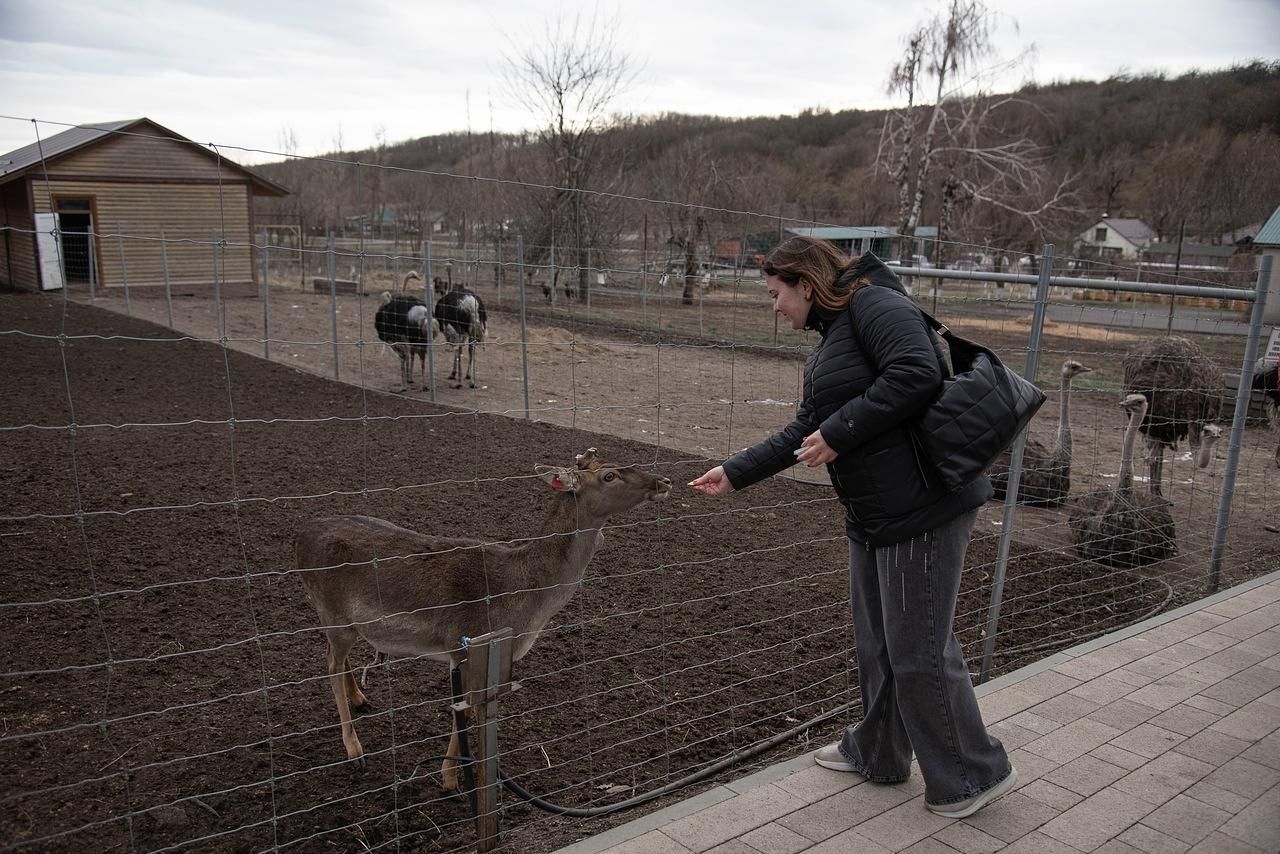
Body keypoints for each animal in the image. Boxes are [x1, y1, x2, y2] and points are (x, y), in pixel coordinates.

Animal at [291, 450, 670, 793]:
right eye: (609, 475)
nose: (663, 481)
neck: (525, 604)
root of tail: (299, 535)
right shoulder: (467, 645)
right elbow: (466, 711)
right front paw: (450, 779)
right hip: (331, 612)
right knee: (330, 662)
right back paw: (355, 750)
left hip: (345, 622)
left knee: (340, 658)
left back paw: (360, 698)